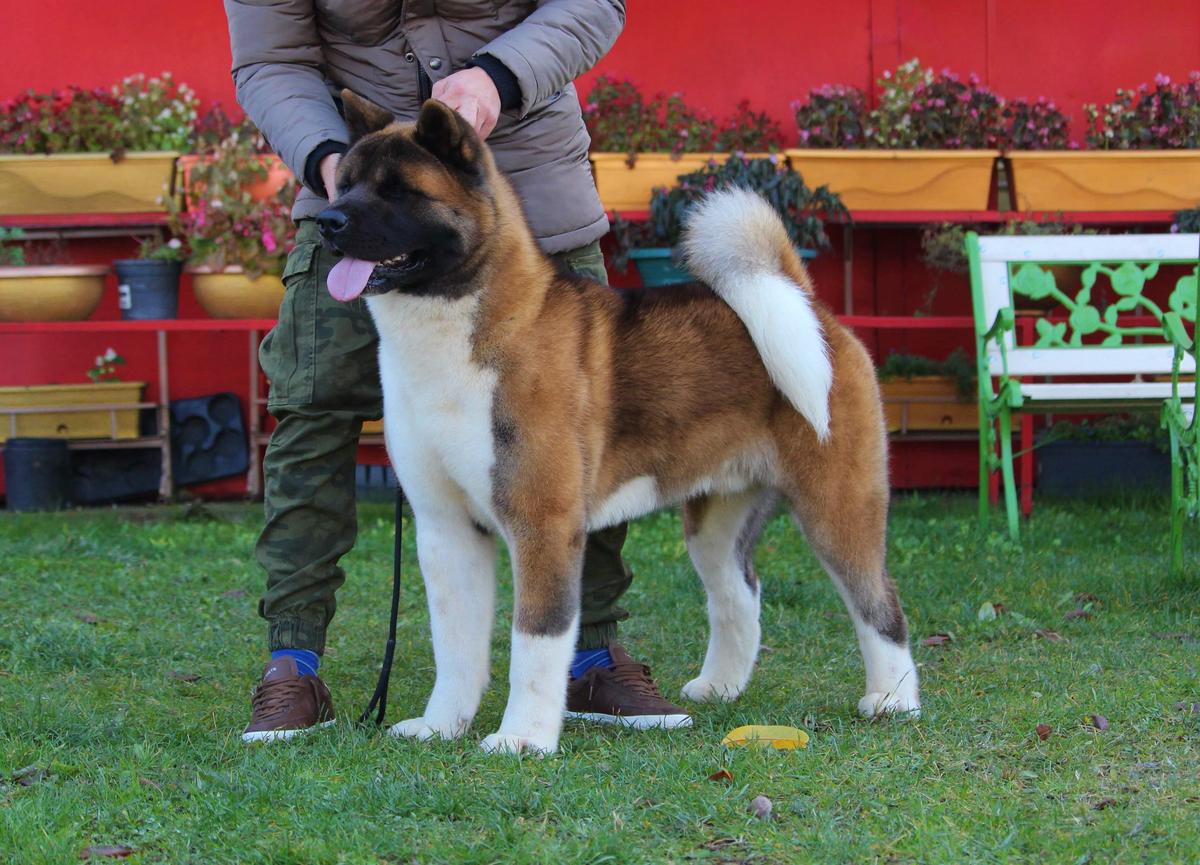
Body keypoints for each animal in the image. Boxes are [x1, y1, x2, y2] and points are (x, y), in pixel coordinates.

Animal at [319, 94, 916, 753]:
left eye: (398, 191)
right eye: (343, 184)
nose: (327, 221)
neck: (466, 329)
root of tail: (805, 301)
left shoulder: (544, 525)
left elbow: (536, 643)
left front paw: (523, 738)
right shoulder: (446, 530)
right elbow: (454, 646)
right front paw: (441, 724)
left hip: (838, 504)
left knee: (880, 605)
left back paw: (892, 700)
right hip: (717, 520)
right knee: (740, 596)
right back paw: (720, 688)